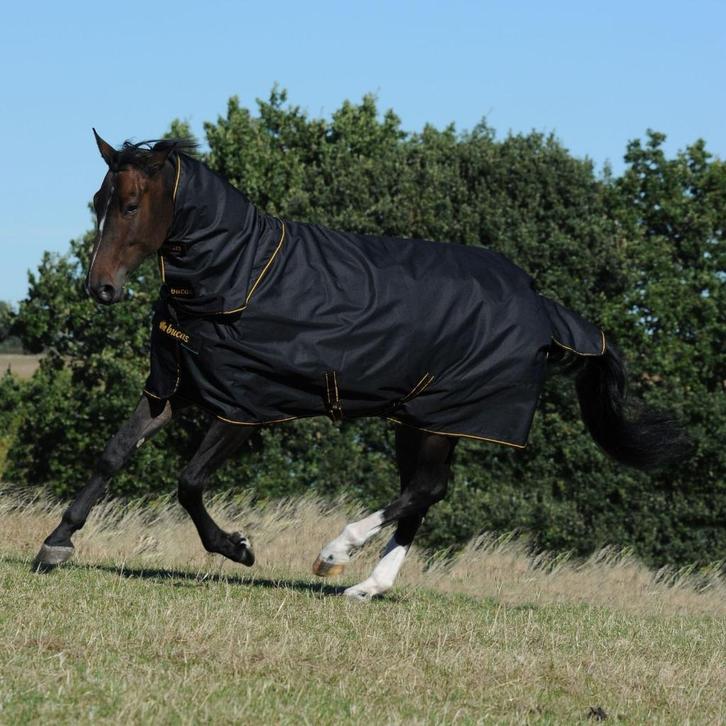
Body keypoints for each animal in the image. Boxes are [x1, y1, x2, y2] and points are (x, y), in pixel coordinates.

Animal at [34, 132, 690, 599]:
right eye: (97, 203)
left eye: (131, 204)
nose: (100, 289)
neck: (238, 274)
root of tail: (541, 304)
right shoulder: (174, 387)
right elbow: (114, 454)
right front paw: (56, 544)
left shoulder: (246, 407)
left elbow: (189, 482)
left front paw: (239, 547)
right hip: (419, 418)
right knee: (424, 493)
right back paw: (367, 586)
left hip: (440, 417)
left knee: (425, 488)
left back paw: (335, 555)